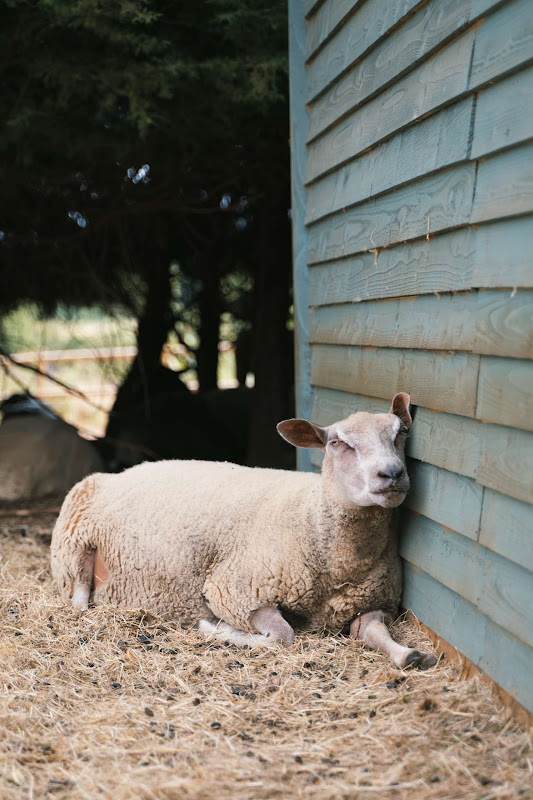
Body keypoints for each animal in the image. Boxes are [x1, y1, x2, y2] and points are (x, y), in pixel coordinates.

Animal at [50, 392, 437, 670]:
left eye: (401, 434)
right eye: (337, 443)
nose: (391, 474)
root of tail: (120, 472)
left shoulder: (374, 602)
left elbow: (374, 632)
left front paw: (410, 655)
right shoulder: (235, 590)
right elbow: (281, 635)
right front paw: (217, 629)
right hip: (73, 549)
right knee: (80, 601)